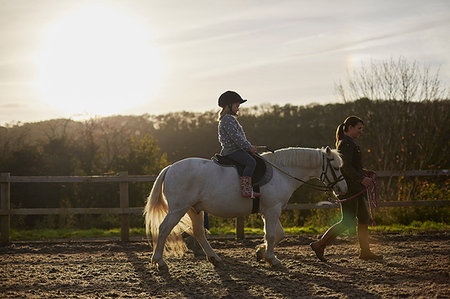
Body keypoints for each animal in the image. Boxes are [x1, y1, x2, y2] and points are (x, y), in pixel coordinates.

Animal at [142, 146, 346, 270]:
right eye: (336, 167)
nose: (343, 189)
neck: (282, 172)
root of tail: (170, 168)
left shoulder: (269, 211)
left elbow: (278, 234)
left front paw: (260, 252)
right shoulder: (272, 210)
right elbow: (271, 235)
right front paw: (272, 258)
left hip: (194, 210)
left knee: (199, 233)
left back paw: (215, 258)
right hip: (178, 209)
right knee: (164, 229)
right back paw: (159, 261)